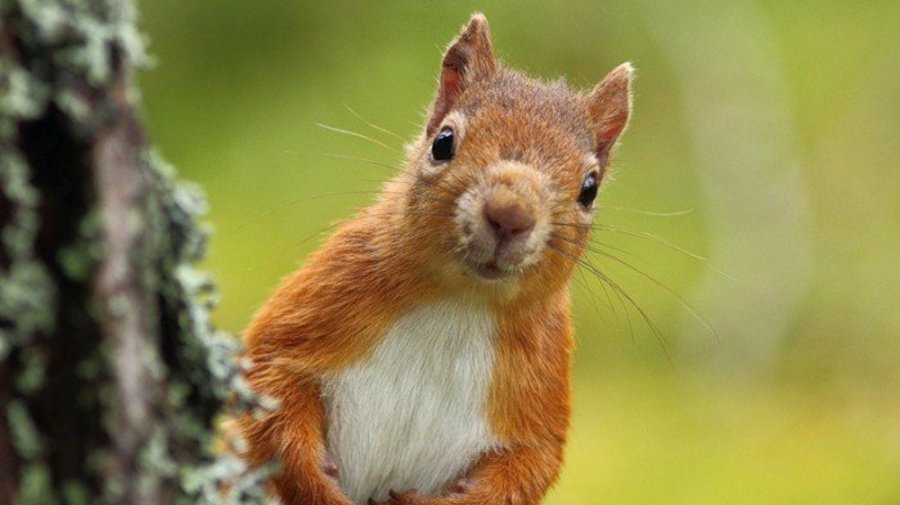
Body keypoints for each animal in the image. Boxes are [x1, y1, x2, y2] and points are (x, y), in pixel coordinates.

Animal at [237, 13, 633, 505]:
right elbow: (270, 381)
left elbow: (530, 464)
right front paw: (317, 484)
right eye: (443, 142)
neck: (459, 303)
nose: (510, 214)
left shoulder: (543, 380)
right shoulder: (323, 296)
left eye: (589, 188)